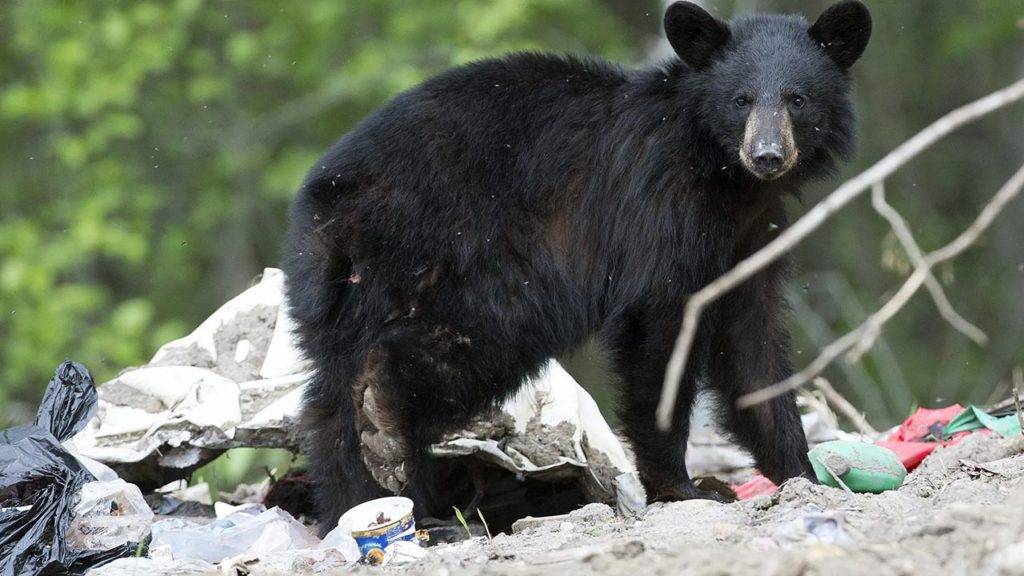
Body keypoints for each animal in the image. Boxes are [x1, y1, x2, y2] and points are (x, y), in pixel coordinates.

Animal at [286, 0, 872, 532]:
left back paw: (367, 498)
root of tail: (320, 206)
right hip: (454, 261)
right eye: (741, 100)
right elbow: (656, 333)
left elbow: (753, 347)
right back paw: (388, 443)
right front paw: (682, 487)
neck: (725, 180)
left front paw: (804, 476)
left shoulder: (750, 240)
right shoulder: (659, 213)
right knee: (436, 353)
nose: (768, 154)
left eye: (797, 99)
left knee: (334, 393)